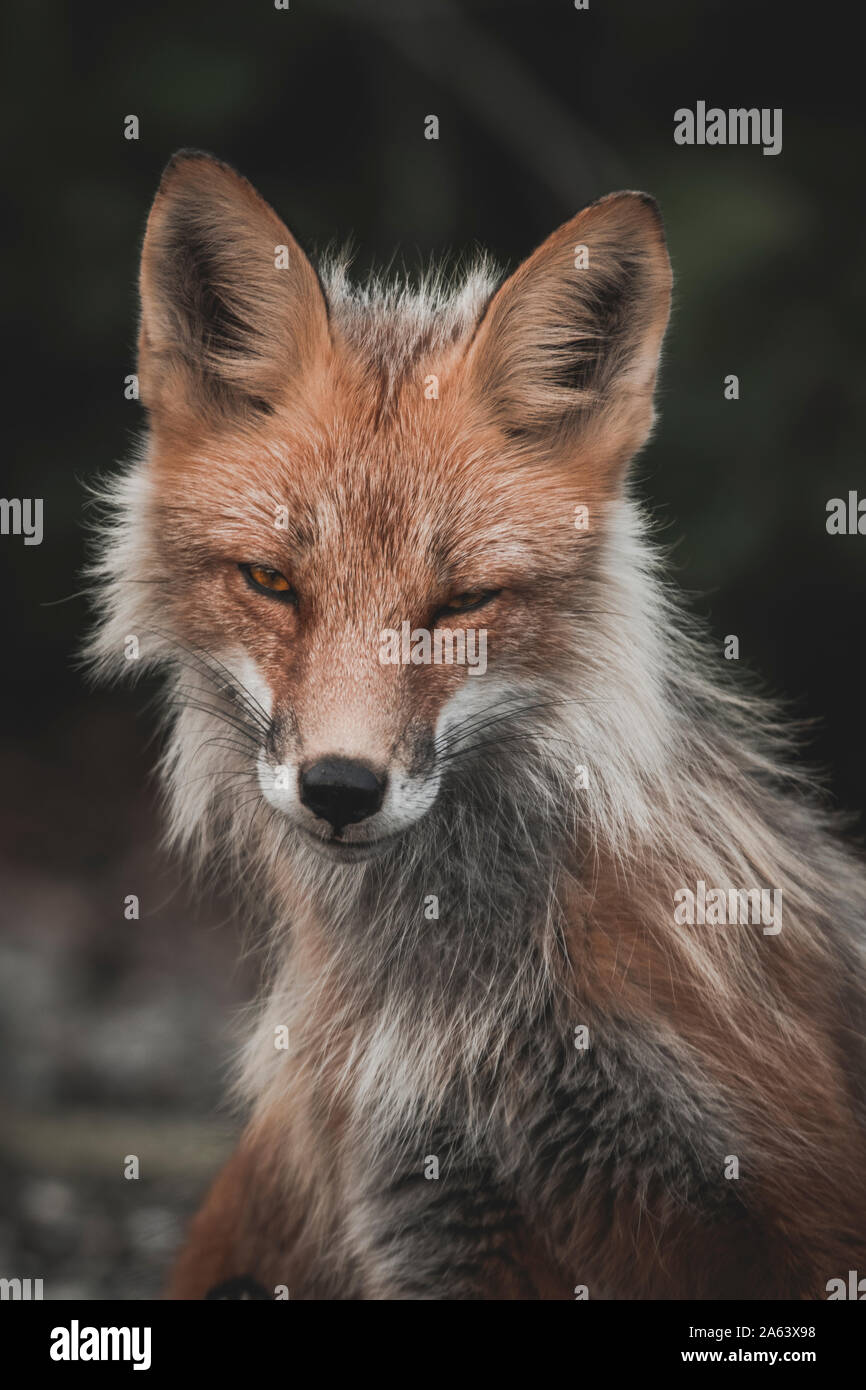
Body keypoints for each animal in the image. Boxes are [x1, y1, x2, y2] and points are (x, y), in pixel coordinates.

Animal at [86, 152, 866, 1301]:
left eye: (459, 604)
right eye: (272, 584)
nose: (339, 787)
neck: (477, 1008)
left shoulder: (785, 1205)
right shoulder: (429, 1207)